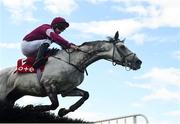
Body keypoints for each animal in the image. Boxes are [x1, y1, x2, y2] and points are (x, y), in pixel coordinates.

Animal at [0, 31, 141, 116]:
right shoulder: (49, 85)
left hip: (12, 97)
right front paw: (30, 108)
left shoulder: (66, 90)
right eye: (122, 47)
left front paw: (64, 111)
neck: (73, 62)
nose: (138, 62)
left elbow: (85, 95)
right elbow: (54, 105)